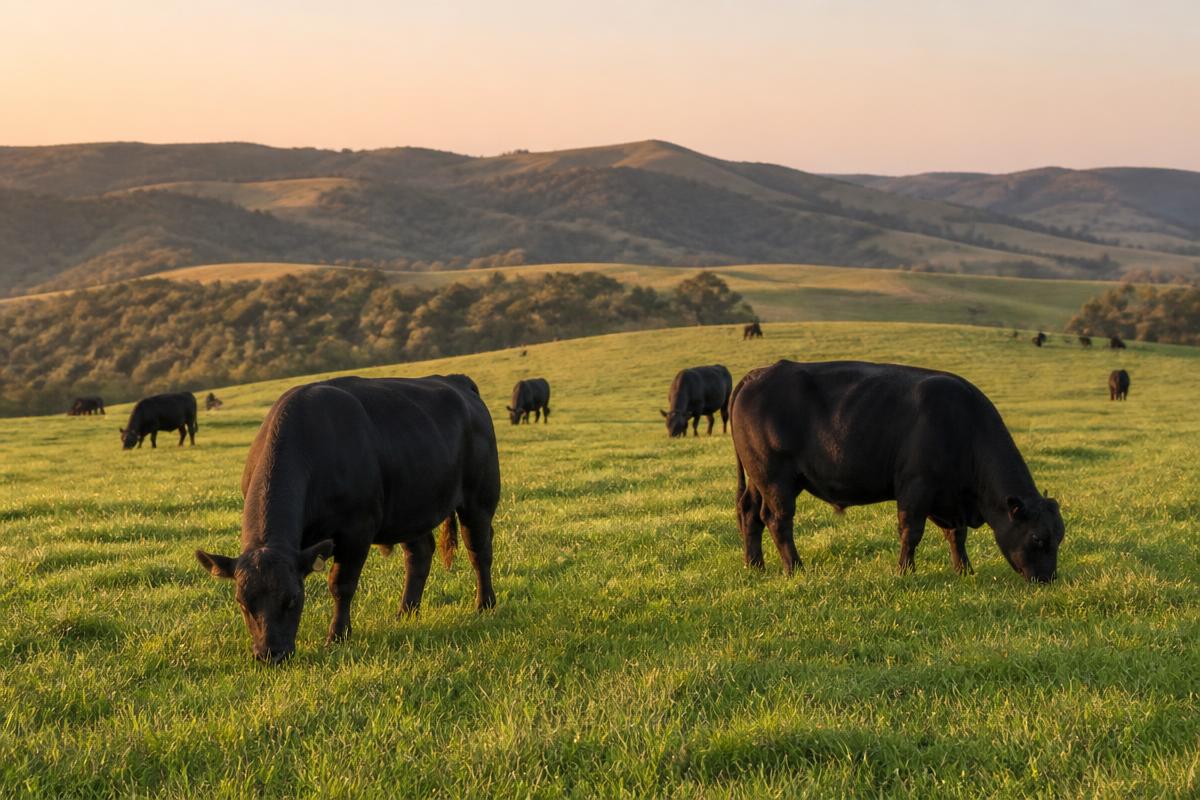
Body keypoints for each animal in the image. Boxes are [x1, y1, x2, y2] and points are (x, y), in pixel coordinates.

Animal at [195, 375, 500, 664]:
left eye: (293, 598)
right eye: (242, 602)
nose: (271, 654)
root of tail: (456, 381)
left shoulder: (356, 532)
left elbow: (340, 585)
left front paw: (337, 636)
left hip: (479, 500)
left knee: (479, 551)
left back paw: (484, 605)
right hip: (410, 510)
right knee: (419, 554)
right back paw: (406, 612)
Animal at [731, 361, 1064, 583]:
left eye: (1059, 538)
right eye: (1038, 538)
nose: (1048, 579)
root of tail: (757, 374)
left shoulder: (948, 499)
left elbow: (956, 535)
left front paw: (964, 571)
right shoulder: (916, 486)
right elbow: (911, 531)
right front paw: (905, 572)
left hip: (761, 480)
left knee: (750, 513)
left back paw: (755, 566)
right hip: (775, 478)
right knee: (778, 520)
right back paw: (795, 568)